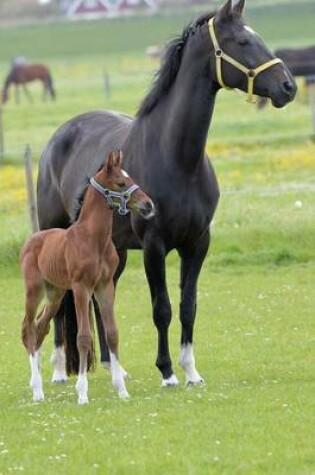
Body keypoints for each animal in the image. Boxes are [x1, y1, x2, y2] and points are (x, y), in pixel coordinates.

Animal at [20, 151, 156, 404]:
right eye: (121, 183)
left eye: (130, 177)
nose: (148, 205)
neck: (94, 239)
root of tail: (32, 239)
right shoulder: (81, 288)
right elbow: (83, 337)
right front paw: (82, 393)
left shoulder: (105, 286)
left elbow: (112, 333)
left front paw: (122, 389)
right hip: (34, 290)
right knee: (28, 328)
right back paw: (37, 389)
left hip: (55, 293)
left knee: (41, 327)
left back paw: (39, 382)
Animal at [37, 0, 296, 386]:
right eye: (241, 42)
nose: (288, 86)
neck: (178, 159)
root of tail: (59, 137)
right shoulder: (154, 245)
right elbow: (162, 308)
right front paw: (168, 372)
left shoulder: (198, 243)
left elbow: (188, 306)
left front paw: (191, 371)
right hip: (55, 233)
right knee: (60, 301)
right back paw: (57, 371)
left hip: (114, 251)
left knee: (101, 299)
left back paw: (115, 368)